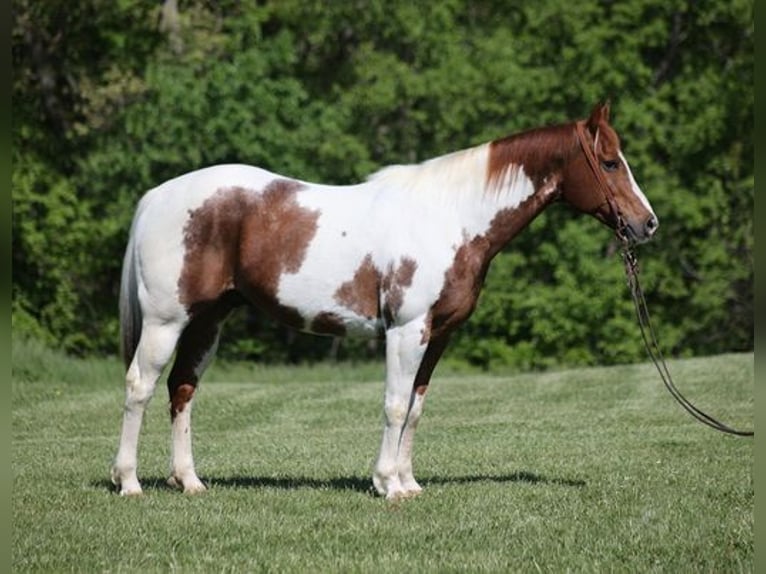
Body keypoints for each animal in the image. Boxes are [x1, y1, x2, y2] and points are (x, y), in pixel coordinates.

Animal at [111, 102, 658, 500]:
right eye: (610, 162)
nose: (647, 223)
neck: (450, 217)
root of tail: (157, 196)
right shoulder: (406, 329)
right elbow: (395, 405)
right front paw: (386, 485)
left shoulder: (438, 335)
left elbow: (415, 407)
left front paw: (409, 483)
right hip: (166, 321)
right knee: (140, 386)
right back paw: (129, 482)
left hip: (207, 321)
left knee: (182, 389)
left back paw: (190, 482)